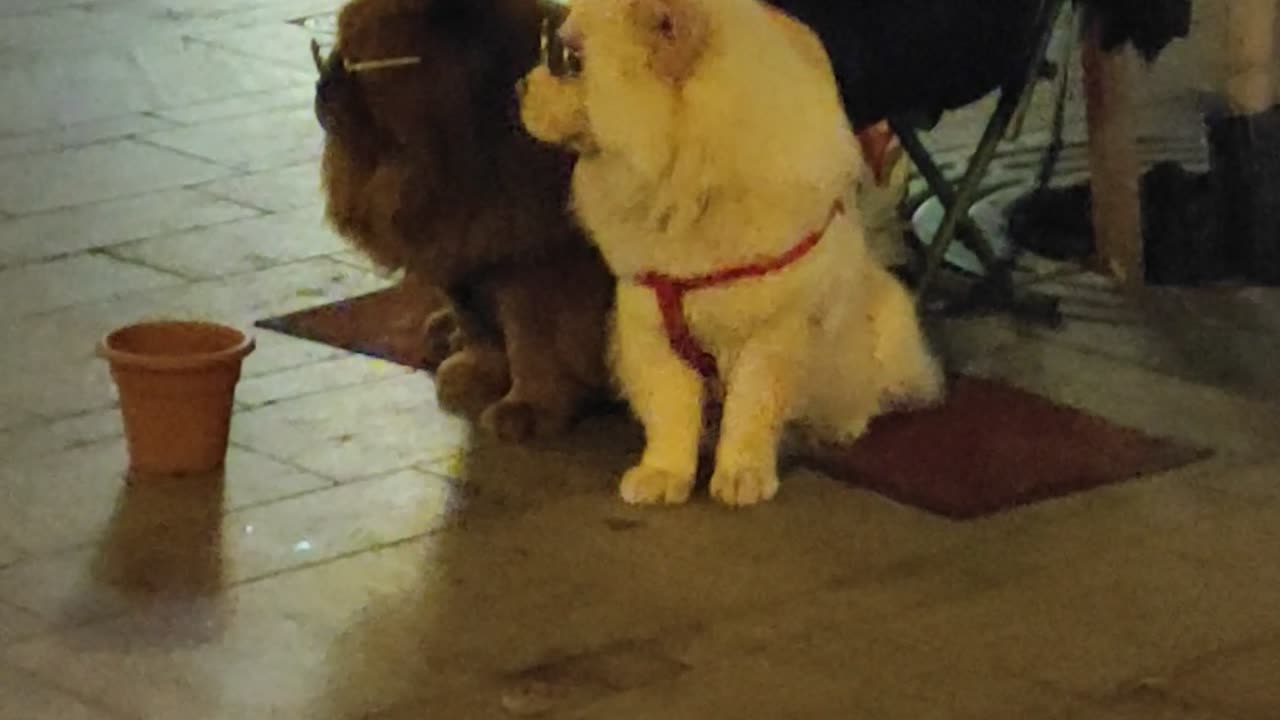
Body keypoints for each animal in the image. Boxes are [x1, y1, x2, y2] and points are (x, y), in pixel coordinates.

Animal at [314, 0, 614, 443]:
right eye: (332, 50)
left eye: (353, 57)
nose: (322, 87)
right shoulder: (464, 252)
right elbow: (484, 331)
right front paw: (474, 374)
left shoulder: (534, 260)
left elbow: (533, 343)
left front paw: (525, 408)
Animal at [514, 0, 947, 504]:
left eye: (567, 60)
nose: (520, 85)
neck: (687, 185)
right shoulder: (650, 325)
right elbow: (670, 408)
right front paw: (663, 474)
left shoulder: (771, 332)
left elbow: (750, 408)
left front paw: (741, 476)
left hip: (885, 329)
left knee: (869, 390)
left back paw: (840, 427)